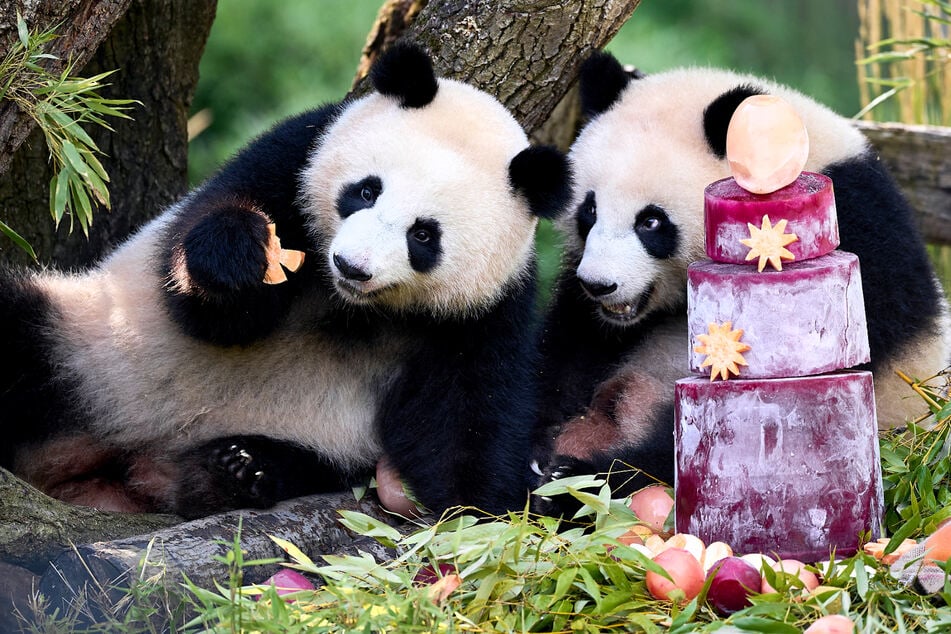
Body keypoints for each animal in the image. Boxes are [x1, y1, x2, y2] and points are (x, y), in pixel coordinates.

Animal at [0, 43, 572, 520]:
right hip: (89, 347)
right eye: (367, 191)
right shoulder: (292, 159)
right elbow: (212, 311)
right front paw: (238, 258)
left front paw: (478, 516)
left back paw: (236, 470)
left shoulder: (484, 309)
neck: (352, 307)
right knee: (21, 337)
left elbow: (464, 421)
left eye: (424, 235)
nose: (352, 266)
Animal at [533, 51, 951, 511]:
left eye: (651, 221)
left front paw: (584, 479)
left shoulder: (856, 236)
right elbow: (566, 352)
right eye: (588, 211)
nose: (599, 284)